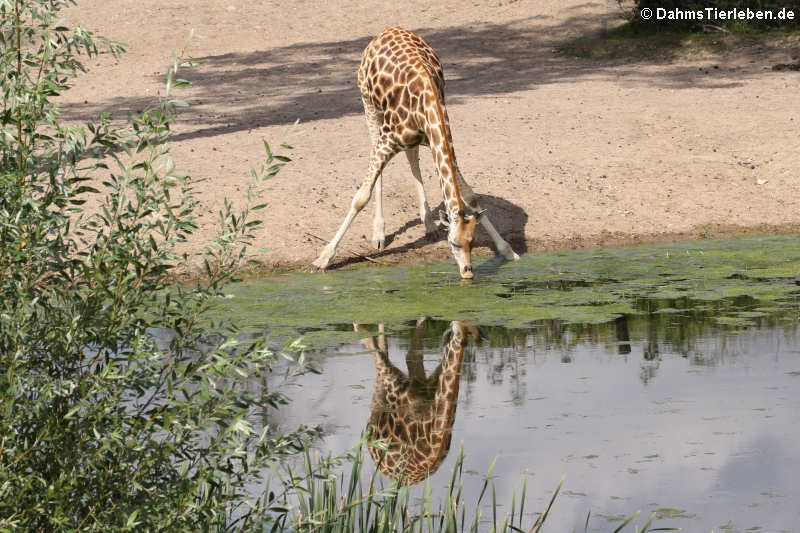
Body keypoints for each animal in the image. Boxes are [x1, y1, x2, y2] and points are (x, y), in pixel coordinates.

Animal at [312, 26, 519, 279]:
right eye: (453, 243)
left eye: (472, 241)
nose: (468, 273)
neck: (426, 106)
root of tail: (387, 30)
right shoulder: (387, 141)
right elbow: (360, 197)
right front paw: (323, 258)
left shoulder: (440, 141)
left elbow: (469, 195)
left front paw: (507, 250)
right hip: (369, 105)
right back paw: (379, 234)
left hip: (411, 138)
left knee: (412, 158)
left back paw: (428, 223)